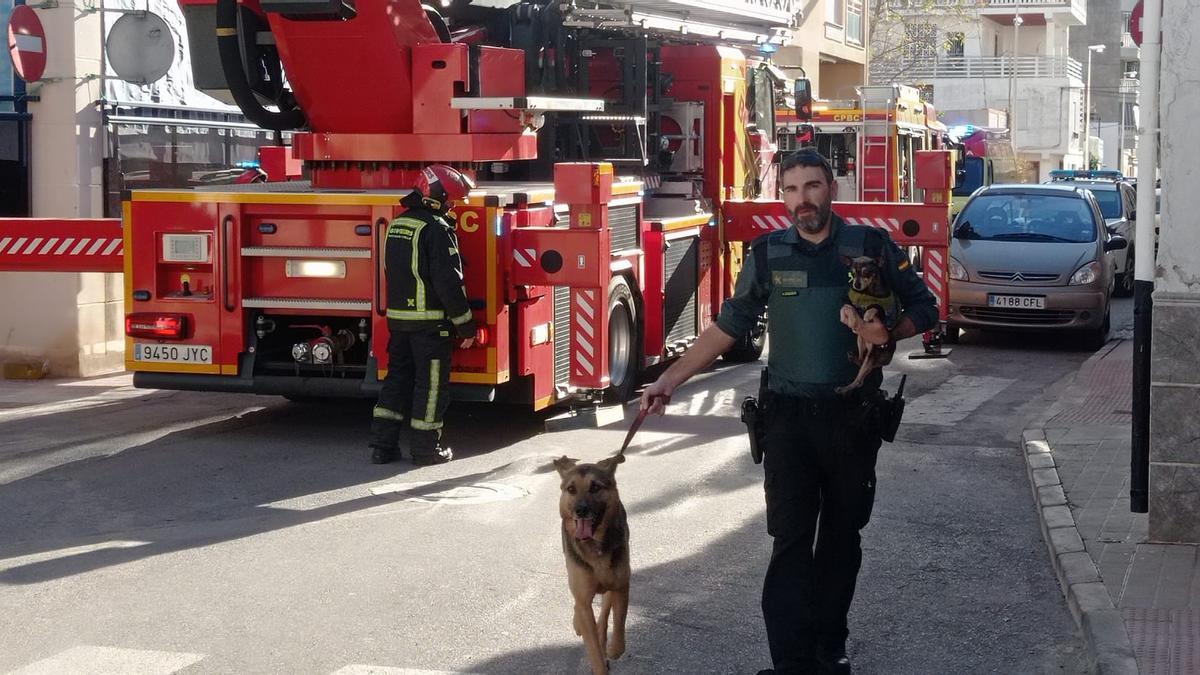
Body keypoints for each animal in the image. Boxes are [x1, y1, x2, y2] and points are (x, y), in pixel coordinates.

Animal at [552, 451, 628, 672]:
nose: (581, 510)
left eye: (595, 487)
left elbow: (618, 622)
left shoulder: (621, 586)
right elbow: (592, 646)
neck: (595, 546)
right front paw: (599, 665)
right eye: (571, 489)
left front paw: (614, 648)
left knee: (603, 618)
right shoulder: (584, 600)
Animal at [840, 254, 897, 396]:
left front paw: (867, 315)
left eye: (866, 272)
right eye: (852, 274)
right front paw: (848, 310)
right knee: (861, 359)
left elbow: (874, 308)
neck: (869, 292)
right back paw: (854, 357)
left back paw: (845, 389)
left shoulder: (882, 311)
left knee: (859, 380)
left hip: (871, 356)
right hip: (861, 339)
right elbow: (852, 306)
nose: (856, 284)